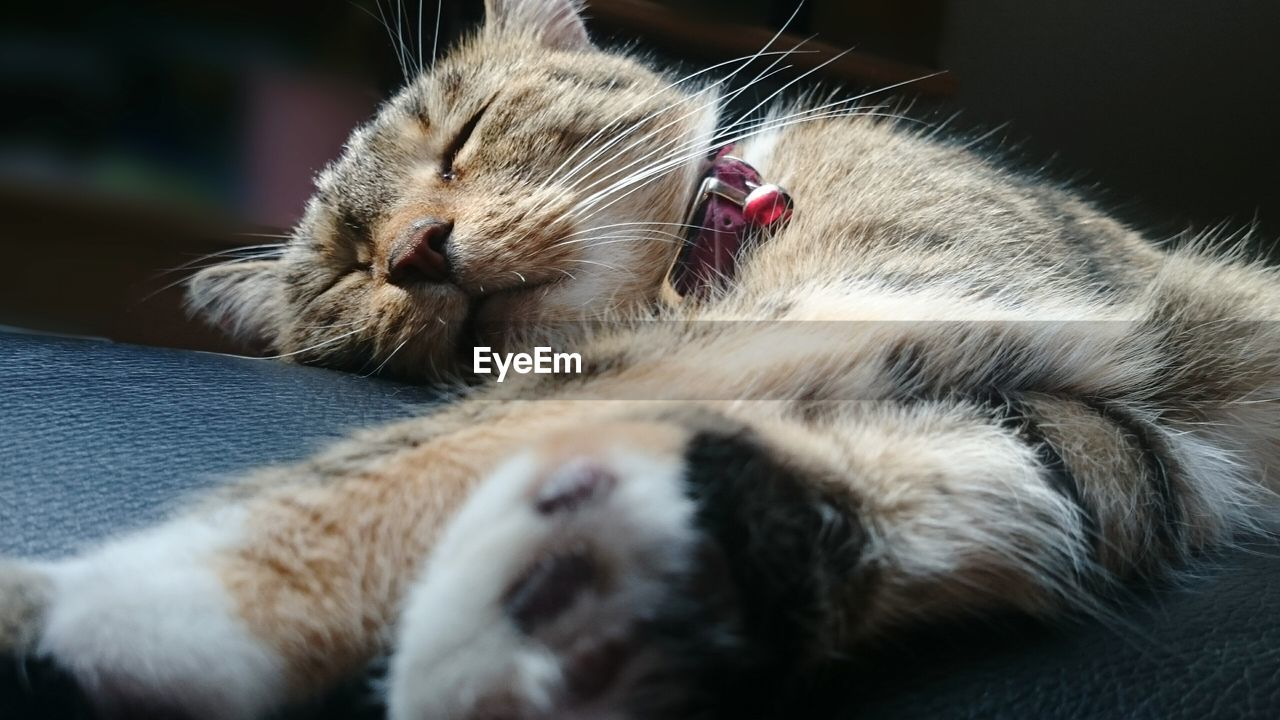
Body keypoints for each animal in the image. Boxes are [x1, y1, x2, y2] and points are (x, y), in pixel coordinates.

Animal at [2, 1, 1280, 717]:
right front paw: (588, 591)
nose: (412, 251)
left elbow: (462, 438)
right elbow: (974, 487)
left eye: (464, 137)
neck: (694, 263)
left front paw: (136, 595)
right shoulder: (1127, 445)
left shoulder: (895, 286)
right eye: (341, 270)